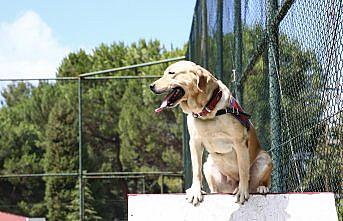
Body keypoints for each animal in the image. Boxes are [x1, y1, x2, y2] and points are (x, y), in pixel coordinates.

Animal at [150, 60, 274, 205]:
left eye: (171, 73)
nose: (151, 86)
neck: (207, 110)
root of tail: (233, 183)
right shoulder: (195, 143)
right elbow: (196, 171)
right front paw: (196, 191)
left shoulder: (240, 143)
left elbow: (244, 171)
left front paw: (243, 191)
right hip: (208, 165)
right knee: (214, 187)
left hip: (265, 159)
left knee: (259, 182)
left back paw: (261, 188)